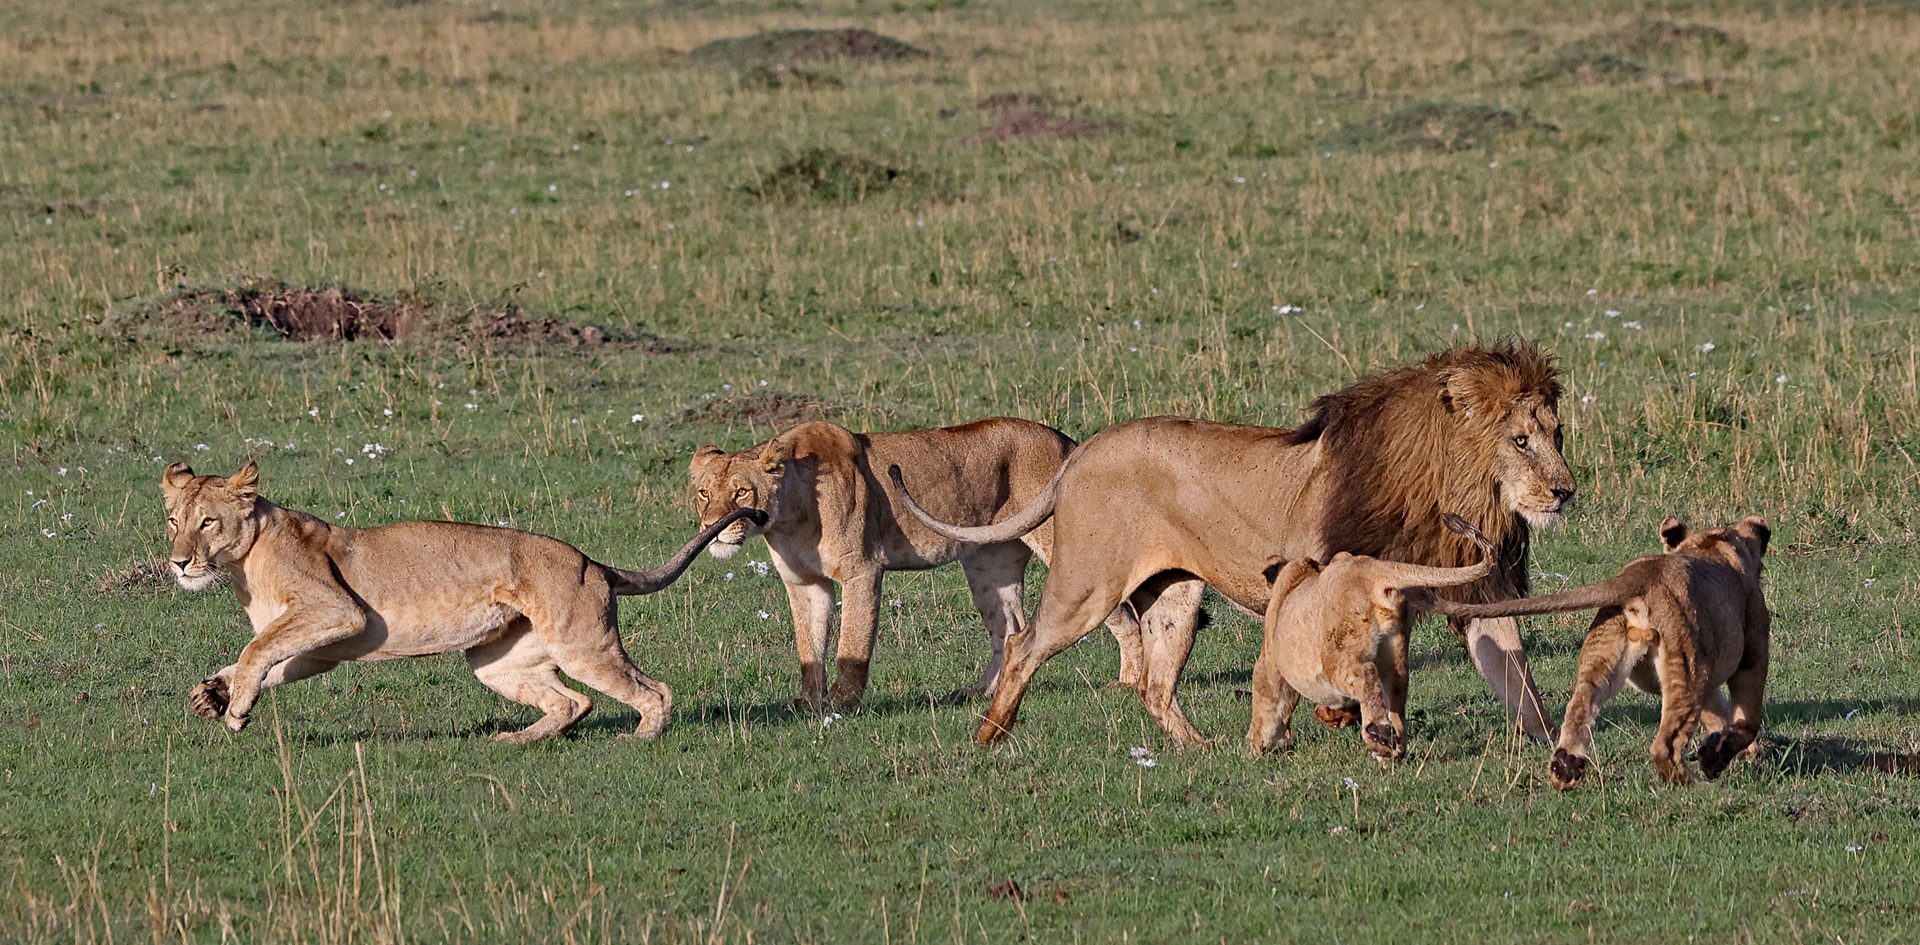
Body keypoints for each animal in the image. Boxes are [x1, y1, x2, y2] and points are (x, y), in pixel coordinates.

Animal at [163, 460, 764, 741]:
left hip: (582, 645)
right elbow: (266, 660)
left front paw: (235, 708)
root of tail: (591, 562)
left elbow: (256, 651)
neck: (243, 564)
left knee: (653, 691)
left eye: (207, 522)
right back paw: (514, 741)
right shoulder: (323, 646)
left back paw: (638, 740)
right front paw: (213, 694)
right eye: (173, 520)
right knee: (572, 703)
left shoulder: (336, 612)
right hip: (496, 661)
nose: (178, 562)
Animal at [691, 416, 1136, 706]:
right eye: (703, 492)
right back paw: (979, 693)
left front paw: (841, 702)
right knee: (1009, 629)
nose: (711, 527)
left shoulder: (862, 570)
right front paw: (807, 702)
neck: (789, 517)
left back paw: (1128, 685)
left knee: (1123, 615)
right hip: (989, 565)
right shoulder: (804, 583)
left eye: (742, 492)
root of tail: (1067, 442)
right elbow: (809, 646)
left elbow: (852, 642)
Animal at [890, 339, 1582, 745]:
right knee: (1024, 643)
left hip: (1175, 598)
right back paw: (990, 734)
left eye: (1557, 435)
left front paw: (1561, 749)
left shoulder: (1476, 595)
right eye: (1521, 440)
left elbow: (1518, 678)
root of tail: (1081, 449)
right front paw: (1338, 716)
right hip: (1087, 584)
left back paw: (1199, 751)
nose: (1565, 491)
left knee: (1154, 687)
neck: (1454, 493)